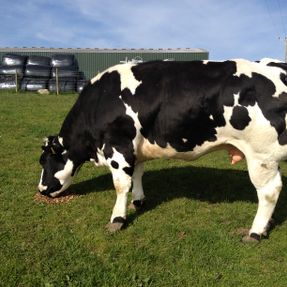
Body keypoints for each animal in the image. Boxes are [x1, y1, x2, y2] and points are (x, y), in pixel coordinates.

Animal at [38, 58, 287, 241]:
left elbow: (121, 184)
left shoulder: (118, 146)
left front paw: (117, 219)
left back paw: (255, 232)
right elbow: (137, 174)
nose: (41, 190)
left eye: (44, 162)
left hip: (260, 154)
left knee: (269, 191)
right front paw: (138, 200)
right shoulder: (134, 149)